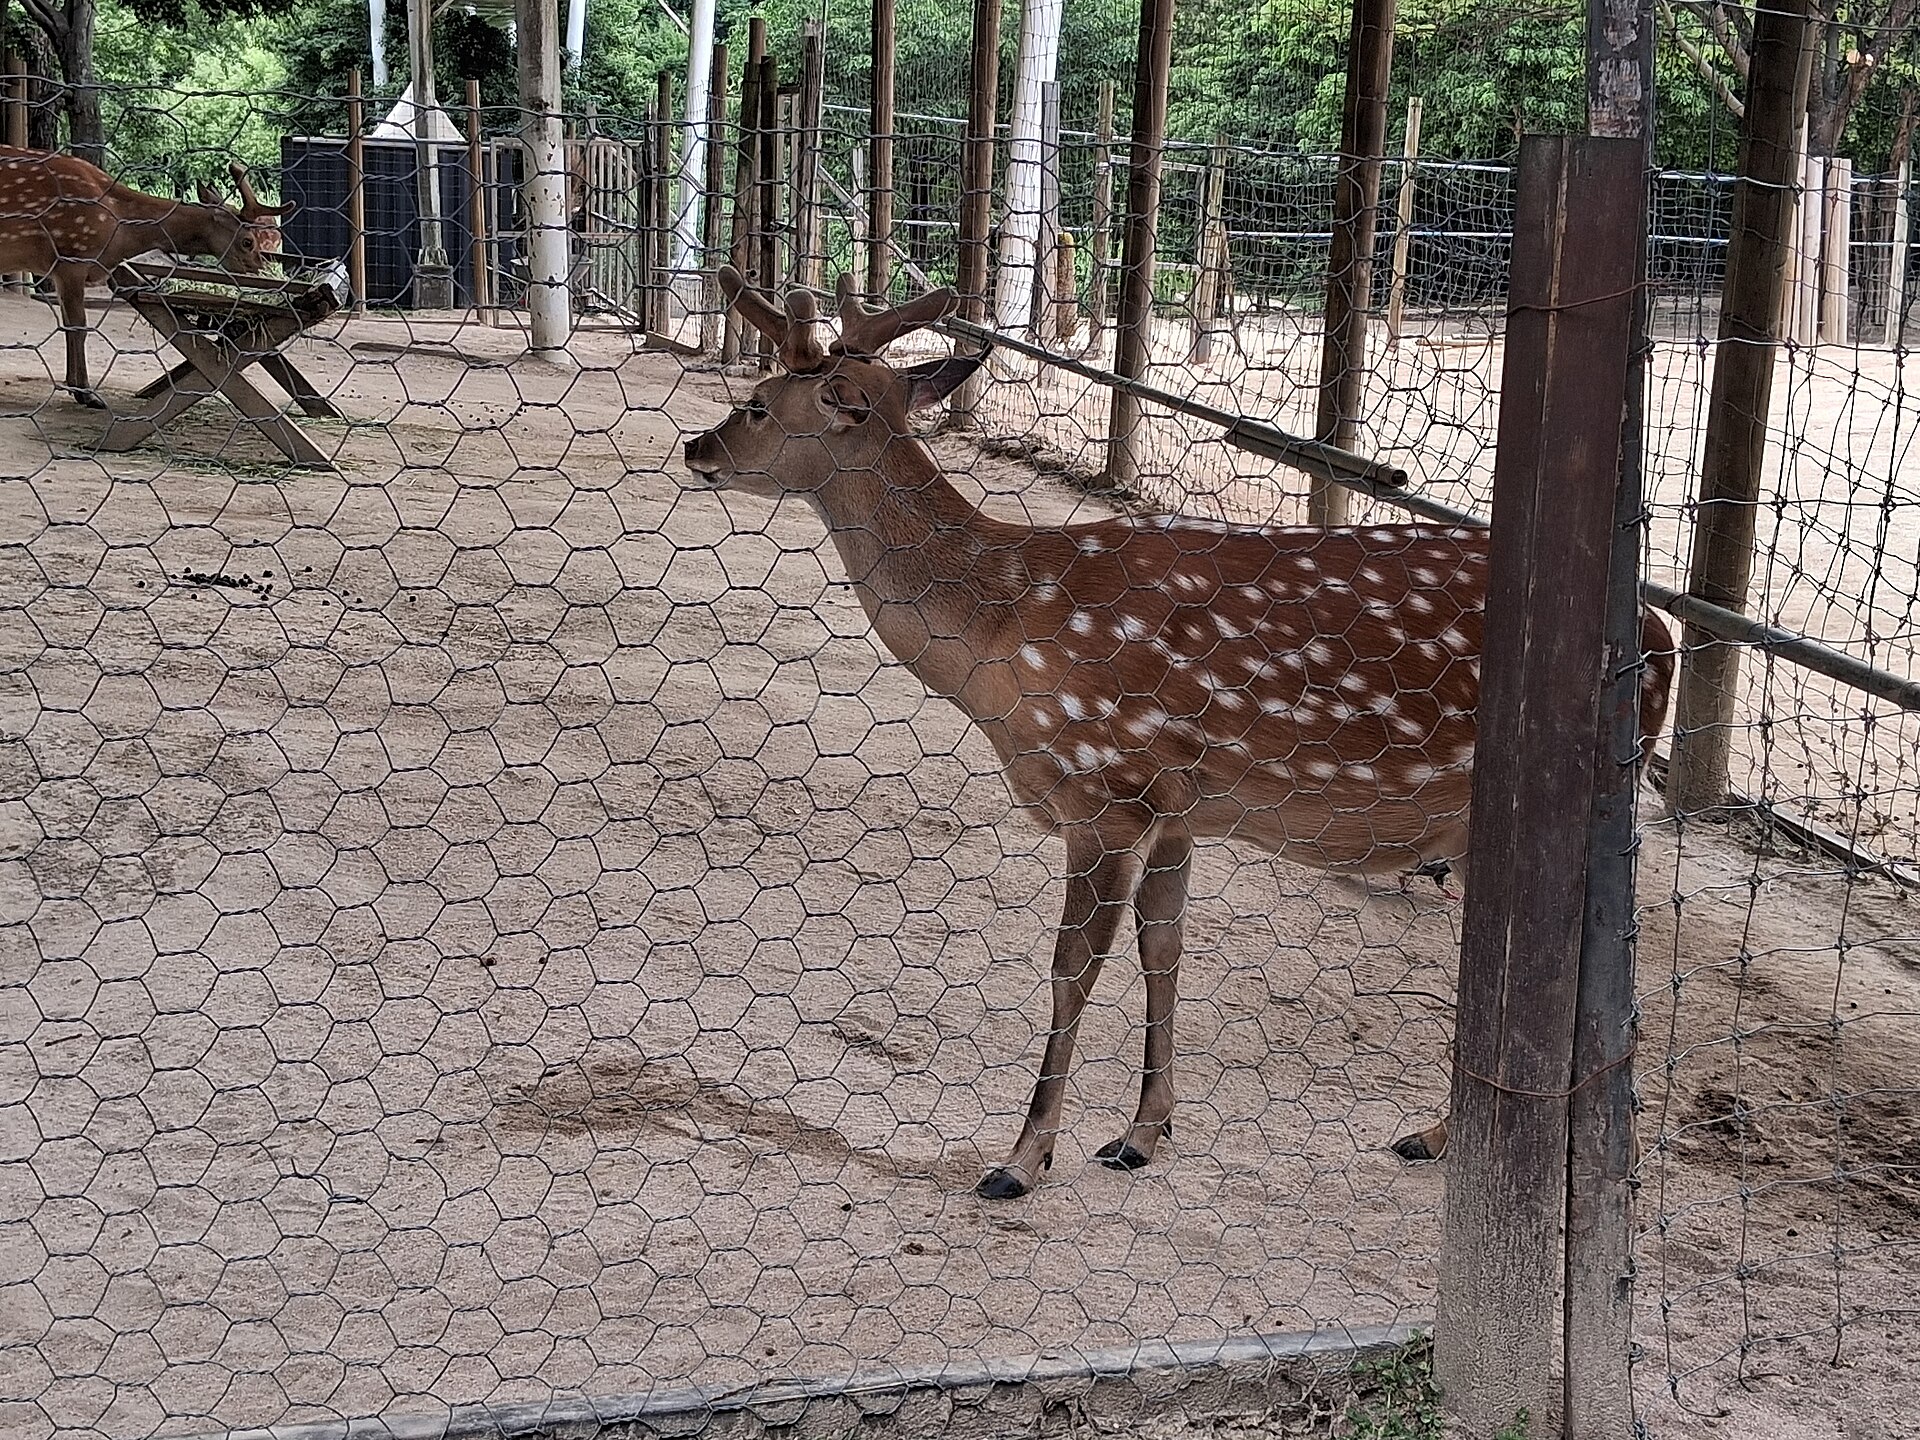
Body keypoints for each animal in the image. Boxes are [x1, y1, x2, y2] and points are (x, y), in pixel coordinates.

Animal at [0, 149, 294, 407]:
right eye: (248, 242)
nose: (260, 271)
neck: (120, 231)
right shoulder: (73, 256)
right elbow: (78, 327)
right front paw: (86, 393)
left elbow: (68, 326)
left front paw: (75, 387)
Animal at [682, 267, 1678, 1200]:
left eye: (758, 401)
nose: (698, 446)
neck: (1002, 637)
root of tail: (1662, 638)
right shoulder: (1178, 809)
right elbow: (1163, 948)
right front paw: (1141, 1133)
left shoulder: (1104, 787)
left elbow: (1072, 967)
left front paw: (1023, 1158)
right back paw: (1439, 1136)